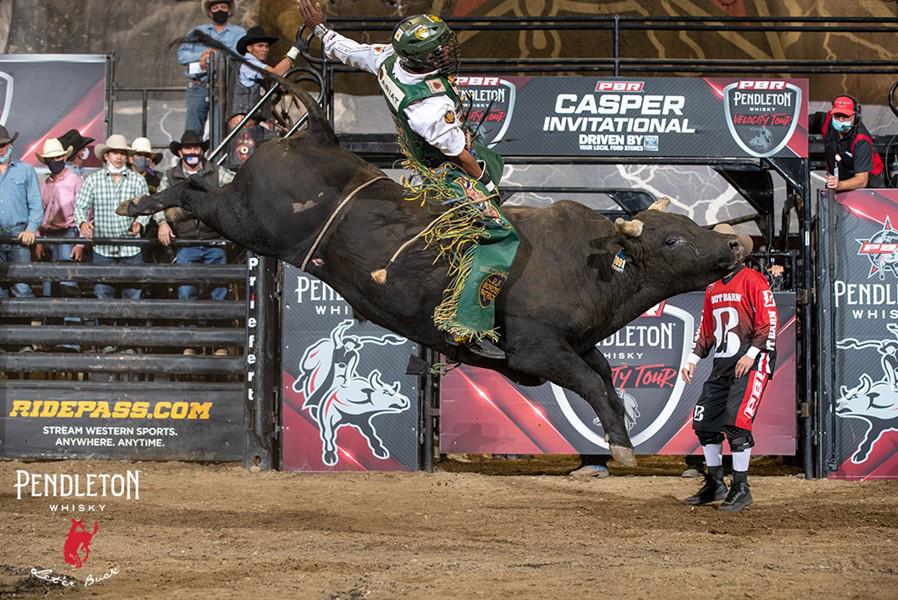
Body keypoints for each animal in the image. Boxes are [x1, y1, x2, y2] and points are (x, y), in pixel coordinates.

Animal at [122, 75, 744, 462]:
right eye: (672, 239)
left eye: (689, 227)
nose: (735, 245)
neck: (593, 265)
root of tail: (316, 135)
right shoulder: (538, 351)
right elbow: (593, 385)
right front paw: (620, 446)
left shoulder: (580, 345)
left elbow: (608, 382)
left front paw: (622, 439)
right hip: (250, 221)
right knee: (196, 190)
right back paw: (143, 204)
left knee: (201, 190)